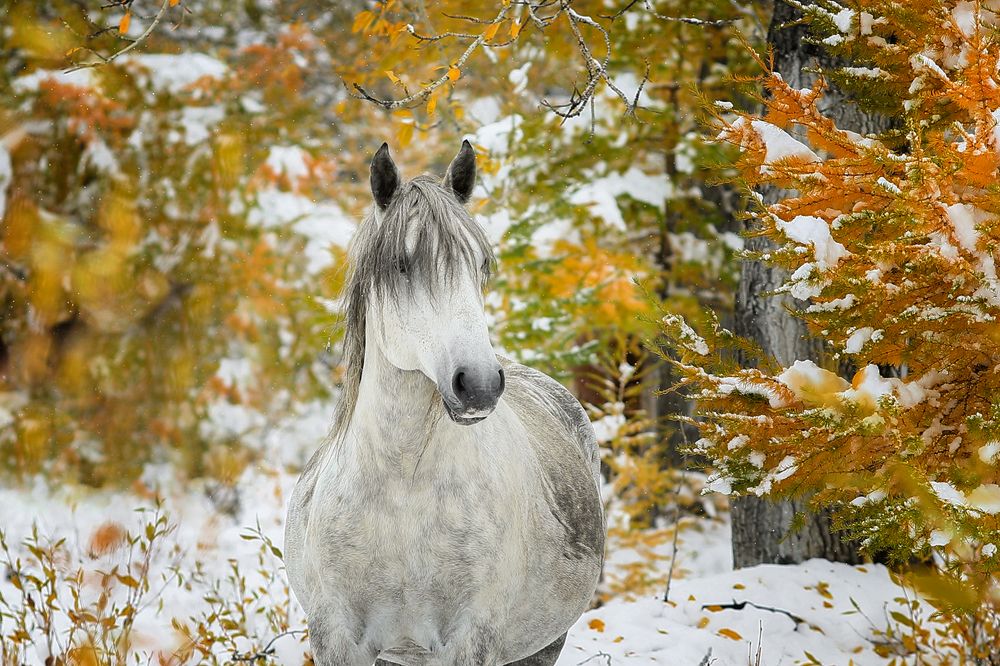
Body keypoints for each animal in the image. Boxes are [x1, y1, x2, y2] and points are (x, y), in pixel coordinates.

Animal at [284, 140, 605, 666]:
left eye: (480, 267)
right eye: (402, 265)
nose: (479, 384)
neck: (401, 491)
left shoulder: (470, 642)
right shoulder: (337, 640)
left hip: (543, 645)